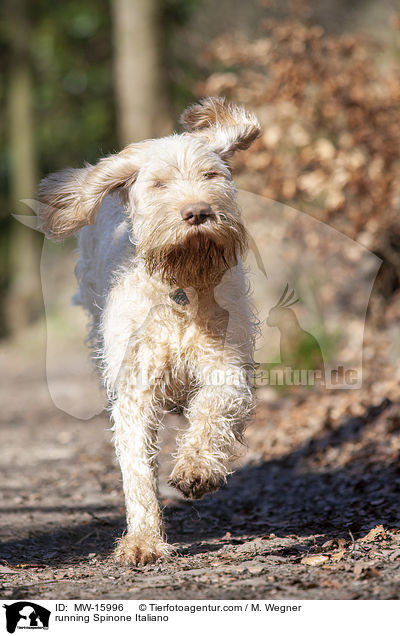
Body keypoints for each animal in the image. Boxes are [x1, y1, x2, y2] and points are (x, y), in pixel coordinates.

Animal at [38, 97, 260, 564]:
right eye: (159, 184)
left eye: (212, 176)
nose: (198, 211)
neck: (181, 291)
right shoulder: (135, 391)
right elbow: (138, 467)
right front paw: (143, 541)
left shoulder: (226, 365)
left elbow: (213, 409)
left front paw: (196, 467)